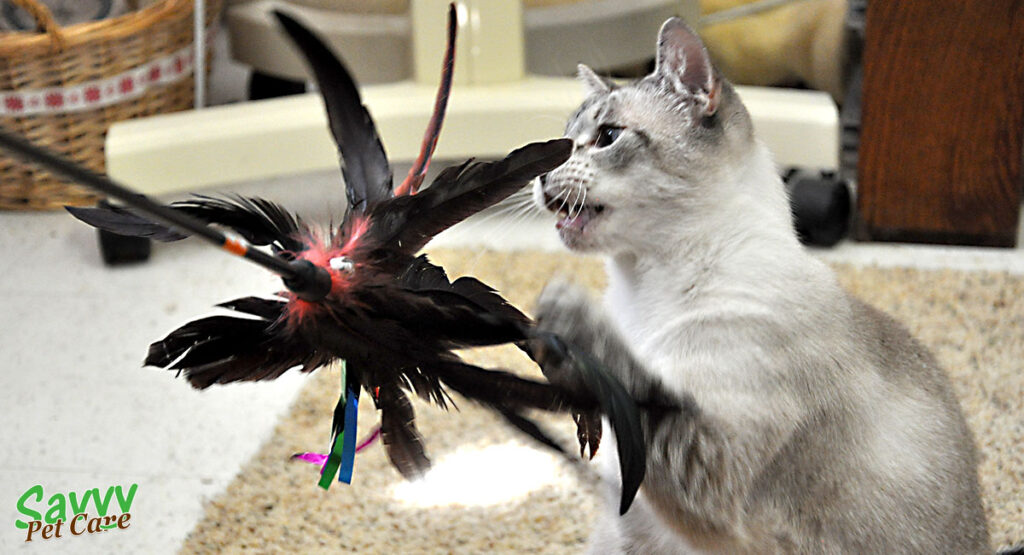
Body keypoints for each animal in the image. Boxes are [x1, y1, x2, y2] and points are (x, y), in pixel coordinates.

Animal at [532, 17, 987, 555]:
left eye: (606, 136)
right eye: (564, 139)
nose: (539, 175)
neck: (638, 292)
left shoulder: (712, 470)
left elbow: (629, 380)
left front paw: (562, 314)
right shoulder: (626, 529)